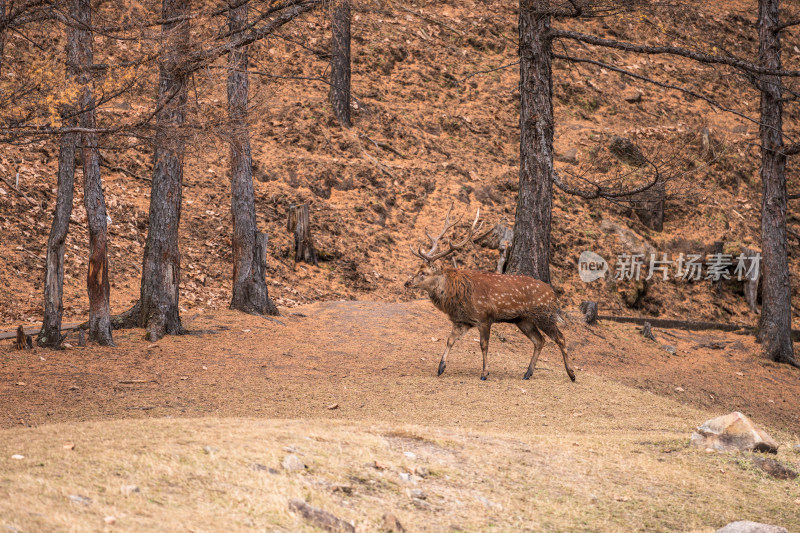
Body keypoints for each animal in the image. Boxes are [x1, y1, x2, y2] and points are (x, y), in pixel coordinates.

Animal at [406, 206, 576, 380]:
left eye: (424, 273)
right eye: (417, 270)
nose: (407, 283)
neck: (458, 296)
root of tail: (554, 295)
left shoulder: (484, 317)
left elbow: (483, 345)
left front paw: (484, 373)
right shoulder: (463, 321)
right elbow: (450, 340)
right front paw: (440, 368)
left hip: (544, 315)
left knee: (560, 338)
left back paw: (571, 374)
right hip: (523, 320)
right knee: (539, 340)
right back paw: (527, 373)